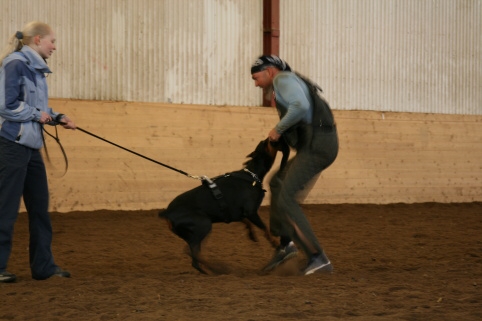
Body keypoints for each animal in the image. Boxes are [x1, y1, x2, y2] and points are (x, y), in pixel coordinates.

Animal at [158, 137, 288, 272]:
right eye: (266, 142)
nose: (271, 137)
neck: (252, 175)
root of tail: (167, 213)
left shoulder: (237, 213)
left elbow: (246, 222)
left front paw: (252, 234)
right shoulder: (251, 212)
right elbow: (265, 229)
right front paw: (275, 243)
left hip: (191, 233)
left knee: (193, 254)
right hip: (203, 225)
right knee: (193, 253)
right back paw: (218, 269)